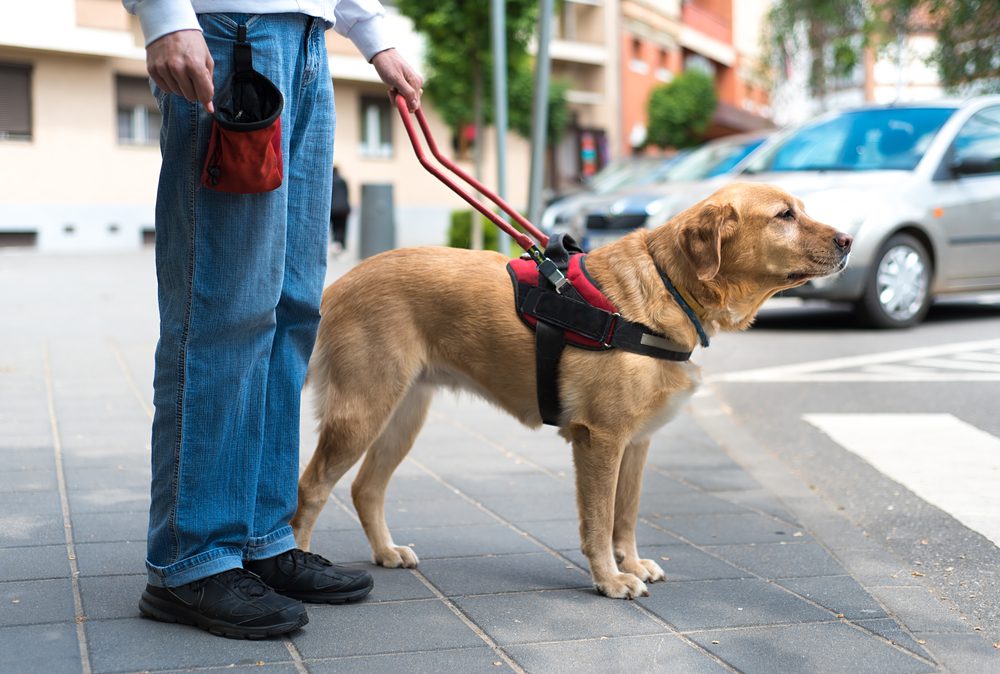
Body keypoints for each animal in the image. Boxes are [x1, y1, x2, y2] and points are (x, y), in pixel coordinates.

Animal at [292, 181, 852, 596]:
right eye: (785, 215)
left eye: (801, 210)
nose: (847, 240)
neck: (667, 285)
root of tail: (339, 284)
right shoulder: (599, 439)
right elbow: (599, 521)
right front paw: (609, 580)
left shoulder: (636, 443)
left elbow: (626, 515)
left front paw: (631, 564)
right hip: (361, 411)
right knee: (311, 487)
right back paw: (297, 563)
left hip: (402, 416)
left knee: (366, 488)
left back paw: (386, 552)